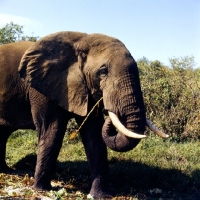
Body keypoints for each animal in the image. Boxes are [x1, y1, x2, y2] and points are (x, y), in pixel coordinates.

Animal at [0, 32, 169, 198]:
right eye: (103, 72)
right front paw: (42, 190)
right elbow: (51, 132)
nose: (108, 107)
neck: (81, 40)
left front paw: (100, 195)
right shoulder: (42, 89)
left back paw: (7, 171)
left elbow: (94, 135)